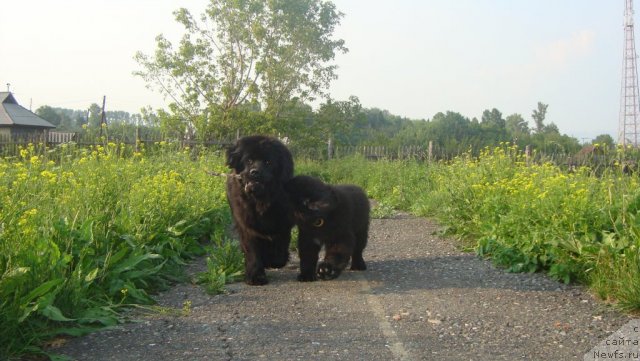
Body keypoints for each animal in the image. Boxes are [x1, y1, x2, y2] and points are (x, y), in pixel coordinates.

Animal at [225, 135, 296, 284]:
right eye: (249, 160)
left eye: (268, 162)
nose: (254, 172)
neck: (260, 201)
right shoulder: (247, 225)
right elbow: (252, 250)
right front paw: (256, 276)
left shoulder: (283, 222)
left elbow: (281, 244)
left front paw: (274, 260)